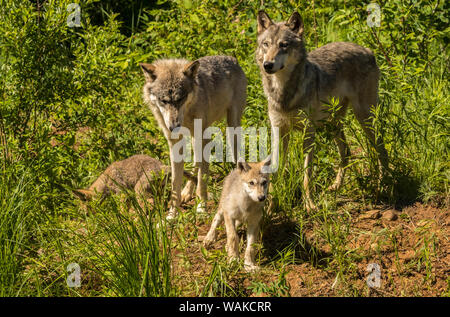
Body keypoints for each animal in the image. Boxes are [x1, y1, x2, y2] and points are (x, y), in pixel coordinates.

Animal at [140, 55, 246, 218]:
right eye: (164, 101)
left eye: (180, 98)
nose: (174, 127)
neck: (186, 116)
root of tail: (231, 59)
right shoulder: (174, 143)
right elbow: (175, 184)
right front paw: (171, 215)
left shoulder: (204, 139)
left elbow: (202, 179)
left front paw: (201, 208)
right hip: (195, 140)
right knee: (196, 163)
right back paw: (186, 193)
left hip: (231, 128)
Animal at [256, 11, 390, 211]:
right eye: (266, 44)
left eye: (283, 45)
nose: (268, 65)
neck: (284, 93)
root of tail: (367, 50)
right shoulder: (279, 131)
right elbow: (274, 171)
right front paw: (270, 206)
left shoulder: (308, 132)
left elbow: (307, 174)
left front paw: (309, 205)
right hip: (332, 123)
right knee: (346, 152)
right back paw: (336, 186)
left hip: (364, 118)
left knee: (381, 149)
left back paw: (383, 186)